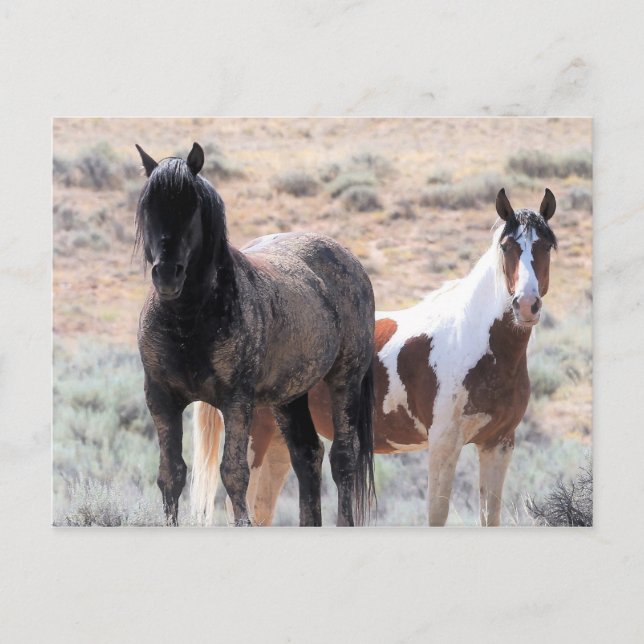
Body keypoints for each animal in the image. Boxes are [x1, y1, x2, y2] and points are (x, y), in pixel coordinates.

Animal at [134, 142, 376, 527]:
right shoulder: (161, 398)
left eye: (192, 206)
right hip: (289, 398)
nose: (168, 274)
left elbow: (234, 473)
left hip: (345, 380)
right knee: (307, 455)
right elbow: (171, 475)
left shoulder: (236, 402)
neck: (188, 322)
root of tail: (349, 260)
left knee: (343, 458)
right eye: (148, 206)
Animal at [193, 187, 558, 526]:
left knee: (263, 506)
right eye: (507, 247)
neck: (475, 341)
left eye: (546, 246)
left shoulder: (498, 444)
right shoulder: (444, 444)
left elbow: (489, 517)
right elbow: (437, 515)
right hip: (256, 436)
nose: (526, 305)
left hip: (278, 444)